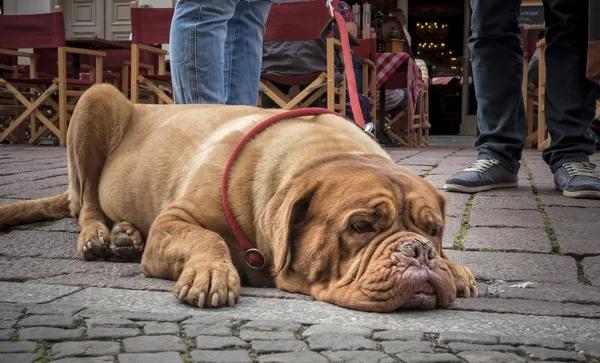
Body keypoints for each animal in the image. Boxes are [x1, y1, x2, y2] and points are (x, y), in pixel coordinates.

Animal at [1, 84, 478, 312]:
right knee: (85, 204)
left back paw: (125, 236)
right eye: (361, 226)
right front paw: (211, 273)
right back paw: (100, 236)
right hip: (94, 100)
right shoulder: (174, 221)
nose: (418, 250)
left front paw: (455, 268)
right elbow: (204, 237)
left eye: (434, 231)